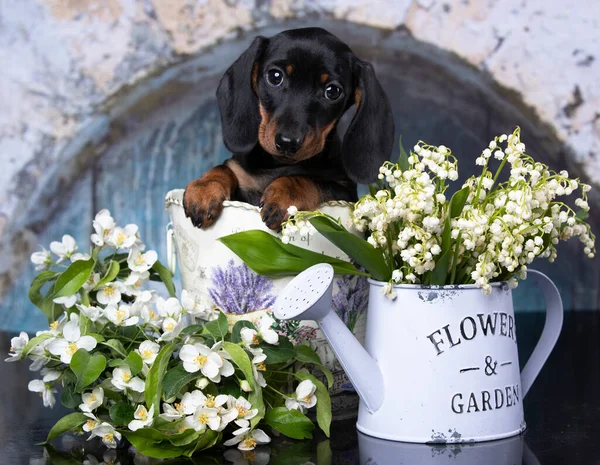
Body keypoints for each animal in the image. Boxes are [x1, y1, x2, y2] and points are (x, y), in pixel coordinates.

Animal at [185, 27, 396, 230]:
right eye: (275, 76)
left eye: (333, 91)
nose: (287, 142)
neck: (277, 165)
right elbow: (225, 168)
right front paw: (204, 188)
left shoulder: (343, 191)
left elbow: (307, 179)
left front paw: (285, 194)